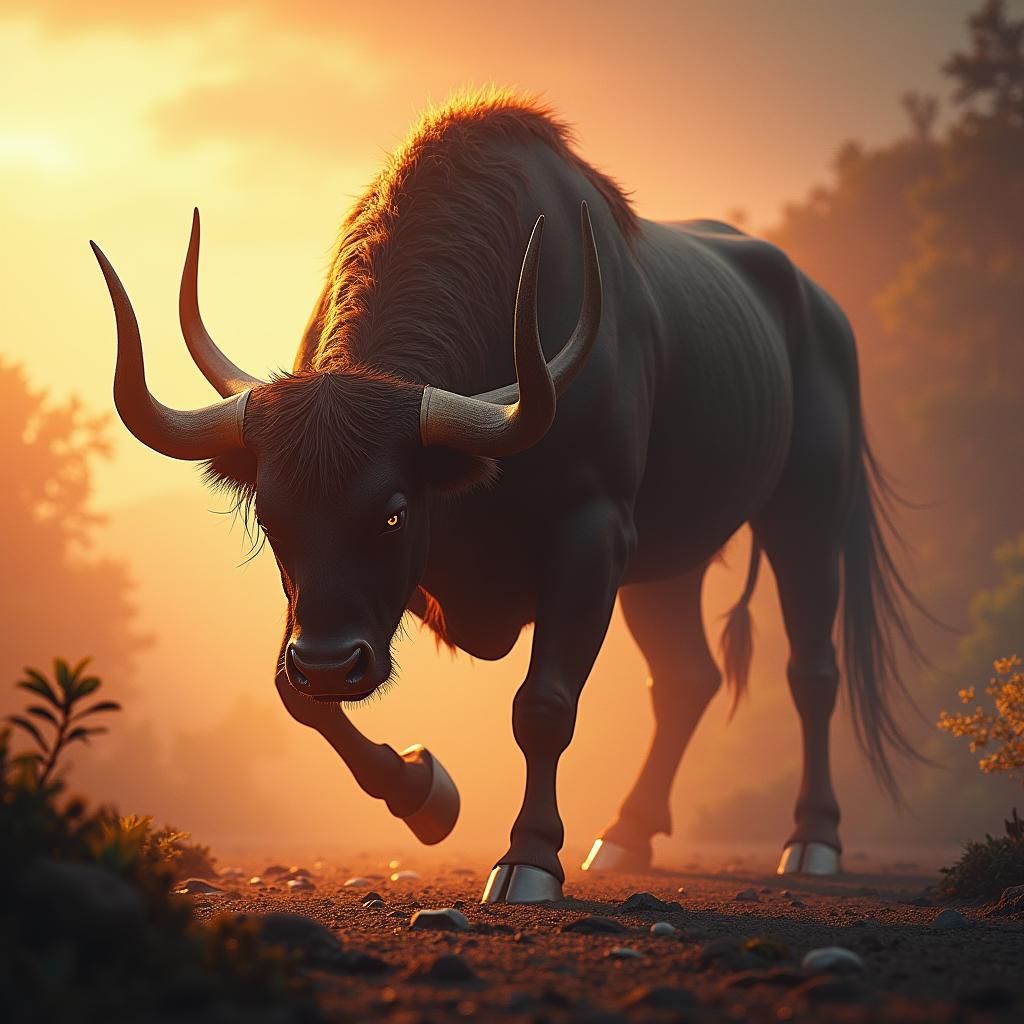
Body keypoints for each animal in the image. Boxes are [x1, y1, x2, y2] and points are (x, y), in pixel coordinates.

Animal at [91, 91, 921, 903]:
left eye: (394, 509)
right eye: (272, 514)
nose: (329, 663)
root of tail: (820, 308)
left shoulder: (591, 533)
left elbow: (544, 704)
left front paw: (529, 858)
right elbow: (293, 696)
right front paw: (426, 793)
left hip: (806, 515)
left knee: (811, 670)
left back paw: (811, 841)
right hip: (667, 568)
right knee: (687, 678)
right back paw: (626, 835)